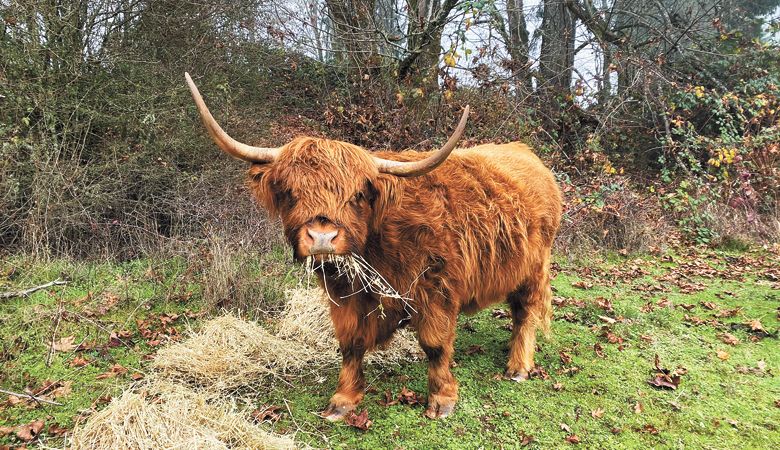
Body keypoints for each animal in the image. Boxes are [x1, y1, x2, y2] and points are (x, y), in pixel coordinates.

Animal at [184, 72, 560, 420]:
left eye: (357, 196)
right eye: (291, 193)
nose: (322, 238)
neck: (379, 244)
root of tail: (524, 151)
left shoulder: (437, 287)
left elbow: (435, 344)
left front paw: (442, 399)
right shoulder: (344, 291)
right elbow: (350, 344)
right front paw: (344, 399)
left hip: (535, 265)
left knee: (526, 311)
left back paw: (518, 367)